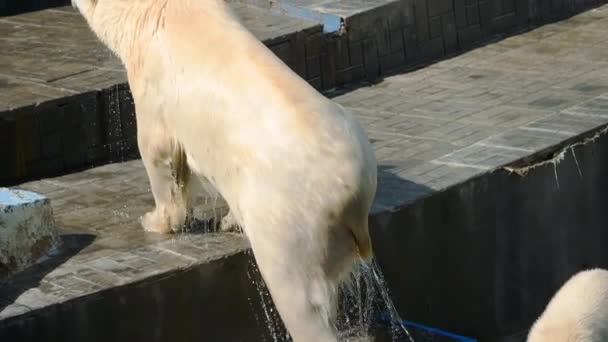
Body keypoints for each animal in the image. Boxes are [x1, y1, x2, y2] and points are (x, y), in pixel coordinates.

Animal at [72, 1, 380, 340]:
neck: (156, 12)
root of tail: (353, 197)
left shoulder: (153, 82)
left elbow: (158, 152)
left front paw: (154, 221)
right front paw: (225, 220)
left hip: (291, 218)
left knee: (300, 298)